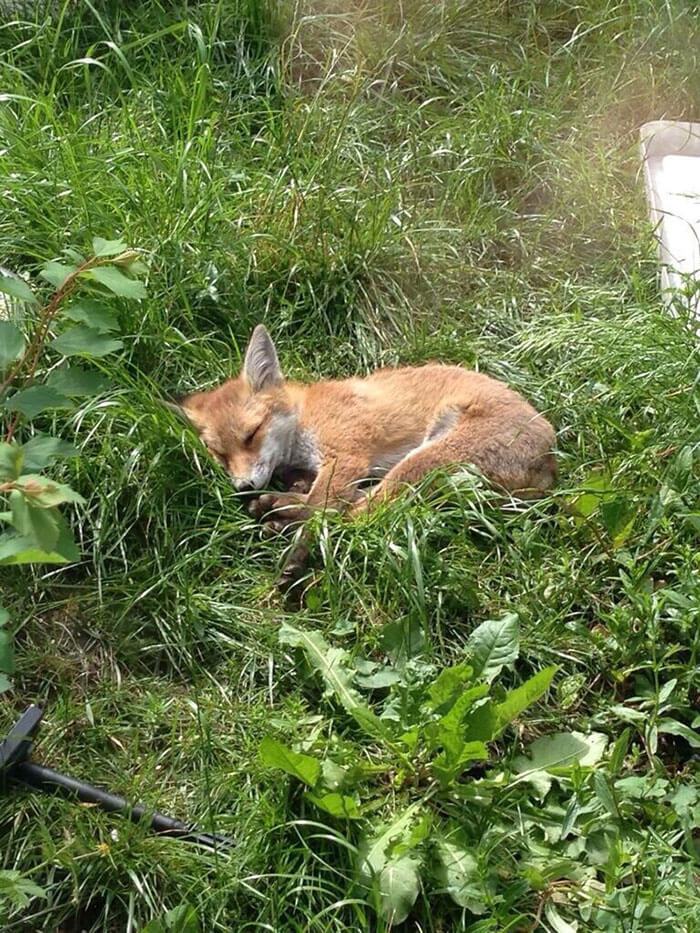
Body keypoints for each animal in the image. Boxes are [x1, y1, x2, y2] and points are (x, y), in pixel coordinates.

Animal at [173, 324, 556, 590]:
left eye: (251, 435)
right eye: (220, 455)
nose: (243, 487)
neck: (305, 415)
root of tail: (553, 462)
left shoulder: (345, 455)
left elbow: (321, 508)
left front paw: (296, 554)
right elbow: (322, 498)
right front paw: (287, 495)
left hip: (423, 460)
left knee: (366, 513)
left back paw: (279, 512)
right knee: (366, 504)